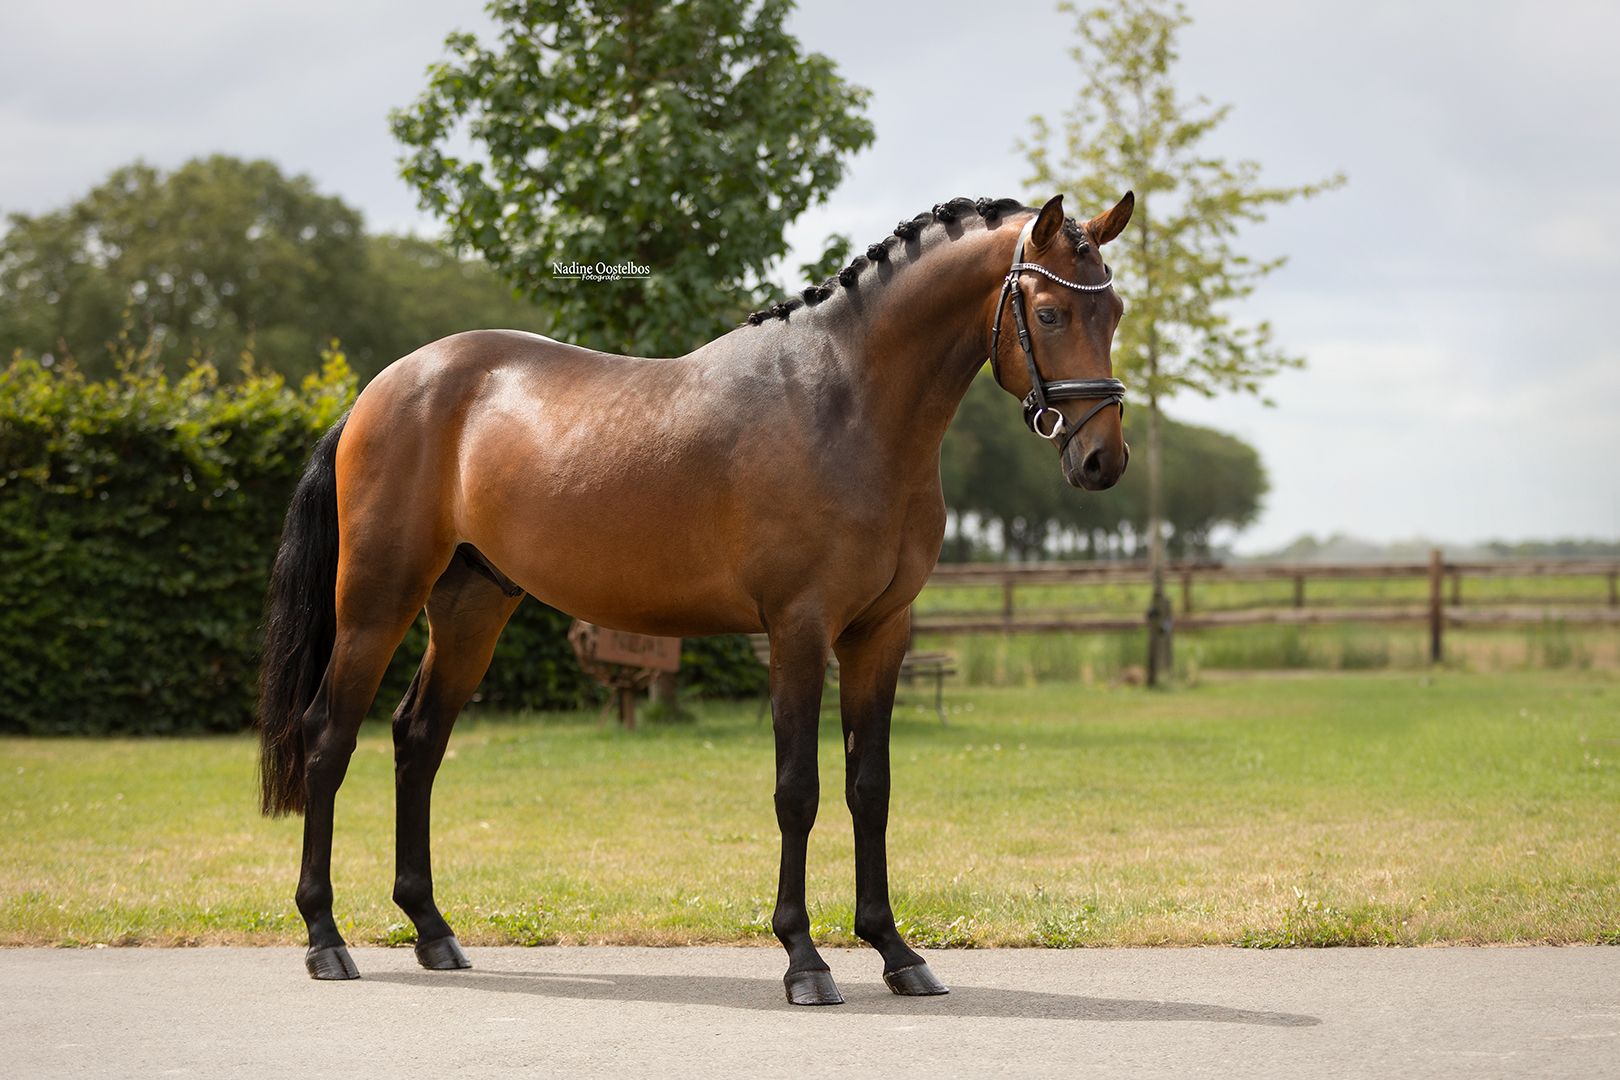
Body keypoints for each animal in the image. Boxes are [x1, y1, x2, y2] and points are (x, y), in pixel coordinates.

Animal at [256, 190, 1134, 1005]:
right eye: (1050, 311)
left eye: (1115, 308)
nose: (1103, 460)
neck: (846, 402)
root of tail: (381, 389)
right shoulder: (798, 630)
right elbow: (798, 790)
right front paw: (805, 959)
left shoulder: (881, 632)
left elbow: (870, 788)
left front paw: (895, 951)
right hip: (377, 600)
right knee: (329, 738)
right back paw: (326, 939)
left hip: (472, 606)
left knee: (418, 739)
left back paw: (433, 932)